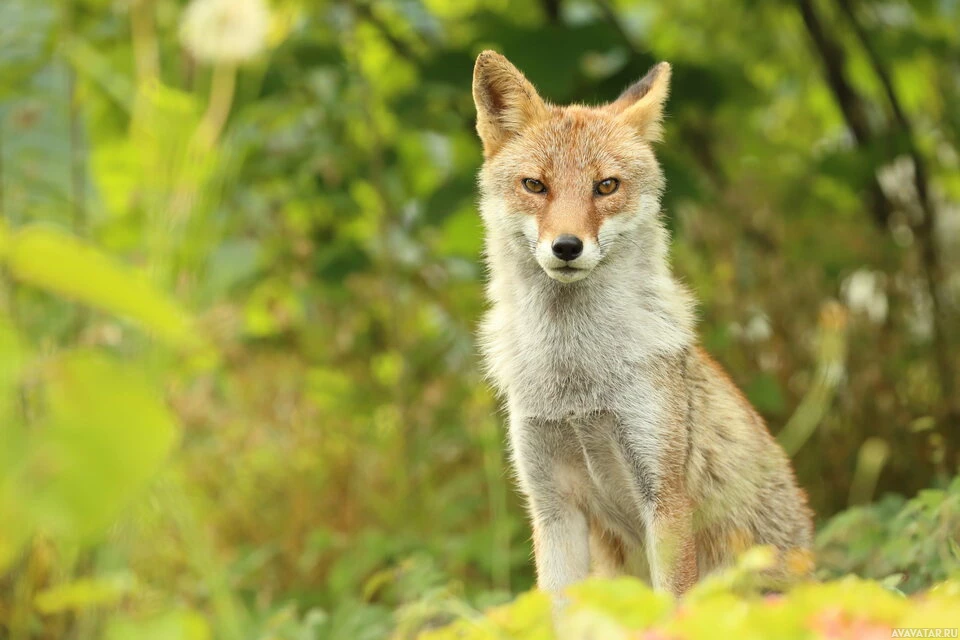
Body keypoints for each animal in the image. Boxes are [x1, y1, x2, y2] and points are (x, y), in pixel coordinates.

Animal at [468, 52, 812, 604]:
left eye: (606, 186)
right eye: (535, 185)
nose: (567, 247)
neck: (576, 385)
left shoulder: (664, 498)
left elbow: (674, 607)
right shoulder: (551, 504)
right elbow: (557, 611)